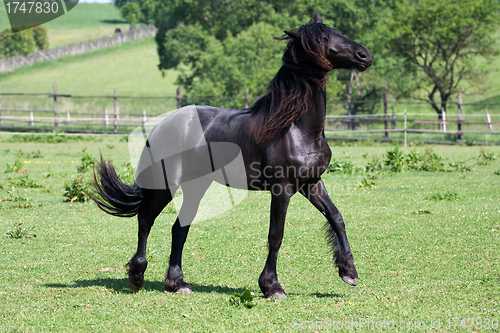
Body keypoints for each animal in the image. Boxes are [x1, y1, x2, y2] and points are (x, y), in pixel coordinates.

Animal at [93, 13, 372, 298]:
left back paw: (177, 283)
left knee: (179, 228)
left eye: (337, 32)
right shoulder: (282, 189)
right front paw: (272, 286)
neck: (297, 128)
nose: (364, 55)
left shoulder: (312, 184)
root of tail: (163, 124)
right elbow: (276, 234)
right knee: (145, 220)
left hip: (196, 186)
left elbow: (336, 218)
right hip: (166, 184)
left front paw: (348, 272)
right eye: (324, 38)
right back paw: (137, 276)